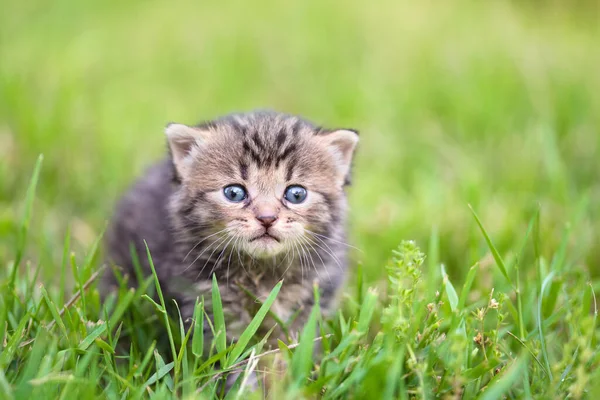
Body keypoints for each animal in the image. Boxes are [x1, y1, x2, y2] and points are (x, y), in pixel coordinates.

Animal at [103, 111, 358, 344]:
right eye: (234, 193)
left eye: (296, 194)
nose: (267, 218)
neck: (261, 271)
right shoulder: (204, 298)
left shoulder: (314, 294)